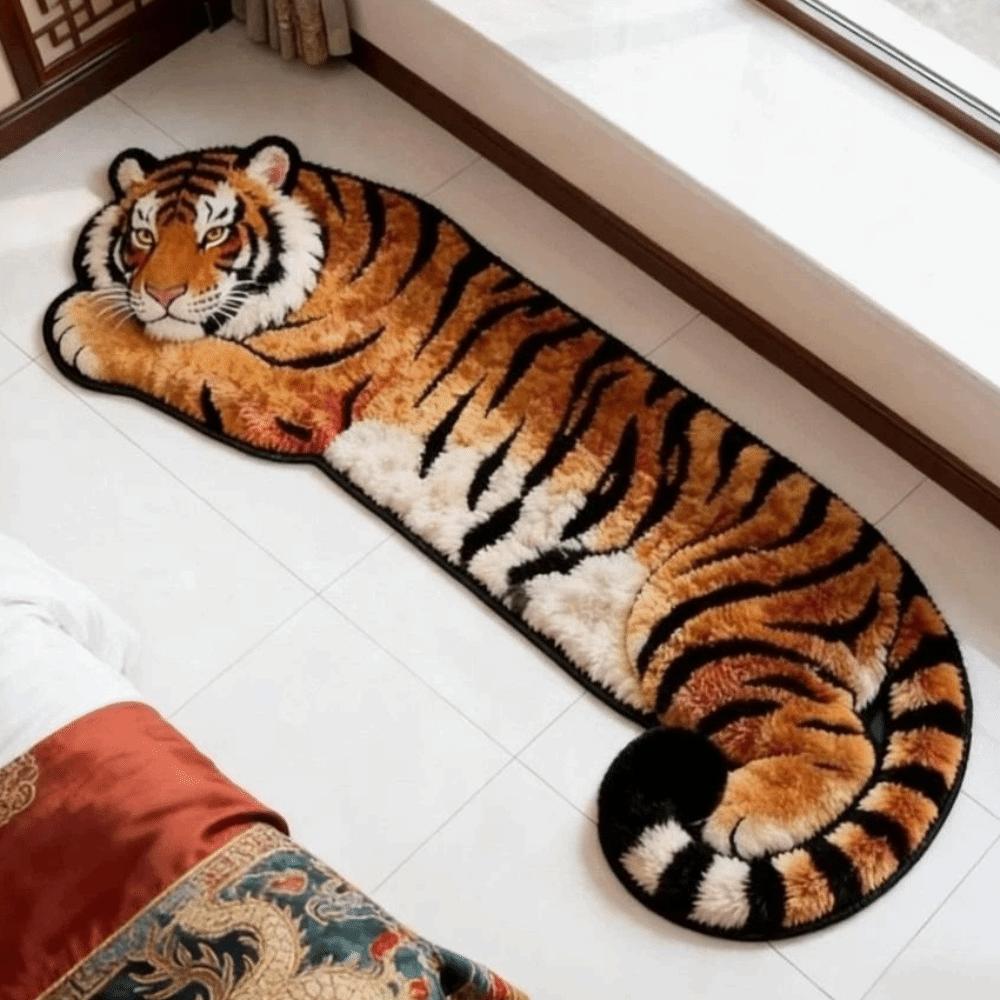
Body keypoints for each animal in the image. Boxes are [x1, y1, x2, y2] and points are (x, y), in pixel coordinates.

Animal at [45, 136, 971, 939]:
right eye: (140, 236)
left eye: (216, 232)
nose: (162, 294)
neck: (320, 234)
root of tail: (902, 576)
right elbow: (185, 347)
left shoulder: (292, 391)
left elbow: (189, 358)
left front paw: (83, 323)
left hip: (713, 619)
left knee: (834, 743)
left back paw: (740, 814)